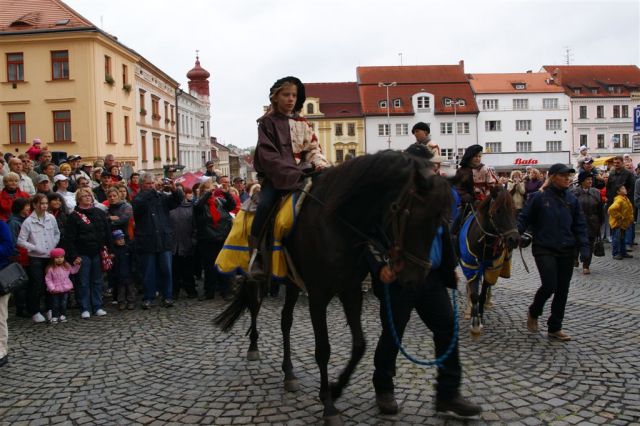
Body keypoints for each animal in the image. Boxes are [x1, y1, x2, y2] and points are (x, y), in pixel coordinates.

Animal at [215, 149, 450, 422]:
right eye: (413, 216)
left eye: (441, 218)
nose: (415, 277)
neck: (337, 223)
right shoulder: (318, 296)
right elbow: (323, 349)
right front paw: (328, 404)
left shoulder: (351, 291)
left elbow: (359, 345)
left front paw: (336, 389)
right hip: (257, 277)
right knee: (254, 306)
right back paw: (253, 347)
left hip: (292, 283)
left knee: (285, 321)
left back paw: (289, 373)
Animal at [456, 185, 520, 338]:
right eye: (498, 211)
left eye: (515, 210)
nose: (514, 239)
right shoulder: (470, 264)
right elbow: (474, 294)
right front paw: (474, 324)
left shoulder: (490, 268)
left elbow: (482, 294)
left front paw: (480, 317)